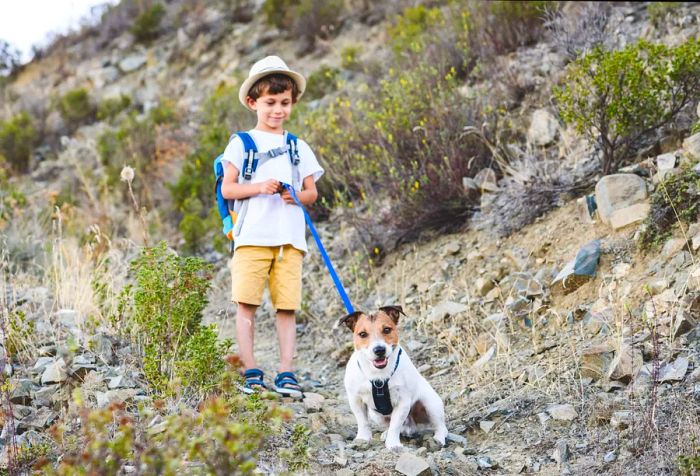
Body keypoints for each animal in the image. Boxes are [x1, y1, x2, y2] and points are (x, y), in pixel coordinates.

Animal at [340, 304, 448, 450]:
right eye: (362, 334)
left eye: (387, 329)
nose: (379, 350)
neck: (378, 376)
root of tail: (411, 423)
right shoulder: (356, 400)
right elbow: (362, 422)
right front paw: (362, 438)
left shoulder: (403, 402)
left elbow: (395, 426)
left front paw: (393, 444)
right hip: (377, 416)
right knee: (396, 425)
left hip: (431, 405)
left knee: (440, 426)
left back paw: (438, 439)